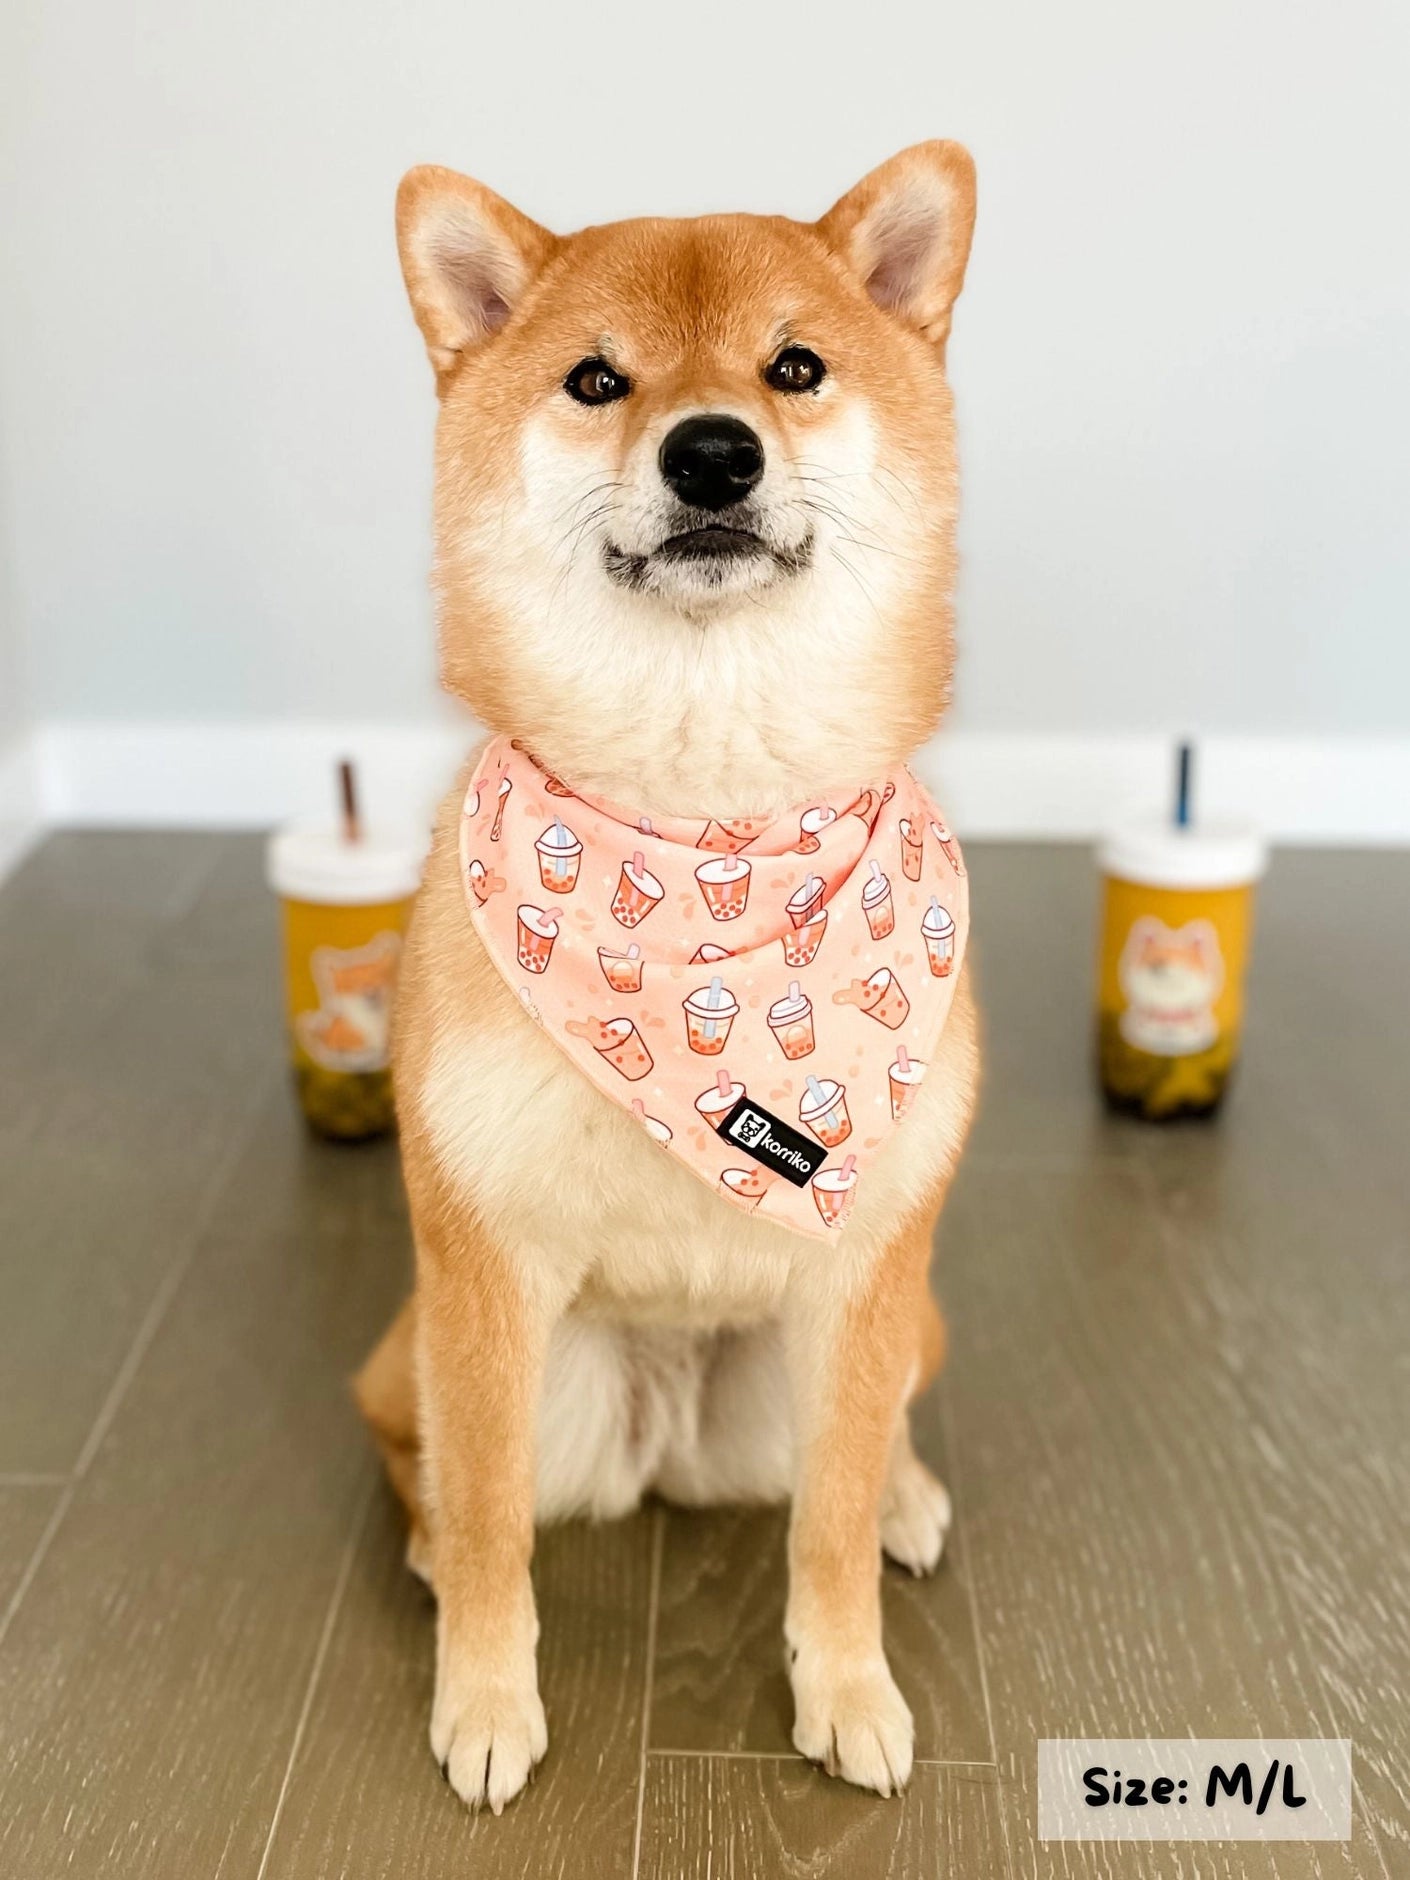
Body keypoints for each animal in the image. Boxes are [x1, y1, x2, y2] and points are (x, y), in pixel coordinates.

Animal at [359, 139, 985, 1812]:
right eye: (595, 379)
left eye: (795, 368)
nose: (712, 454)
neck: (707, 835)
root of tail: (665, 1424)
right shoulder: (484, 1274)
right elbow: (493, 1525)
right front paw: (485, 1701)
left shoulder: (861, 1271)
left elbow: (823, 1529)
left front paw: (845, 1688)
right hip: (432, 1355)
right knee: (425, 1466)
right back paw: (427, 1552)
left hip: (896, 1322)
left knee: (873, 1442)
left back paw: (907, 1498)